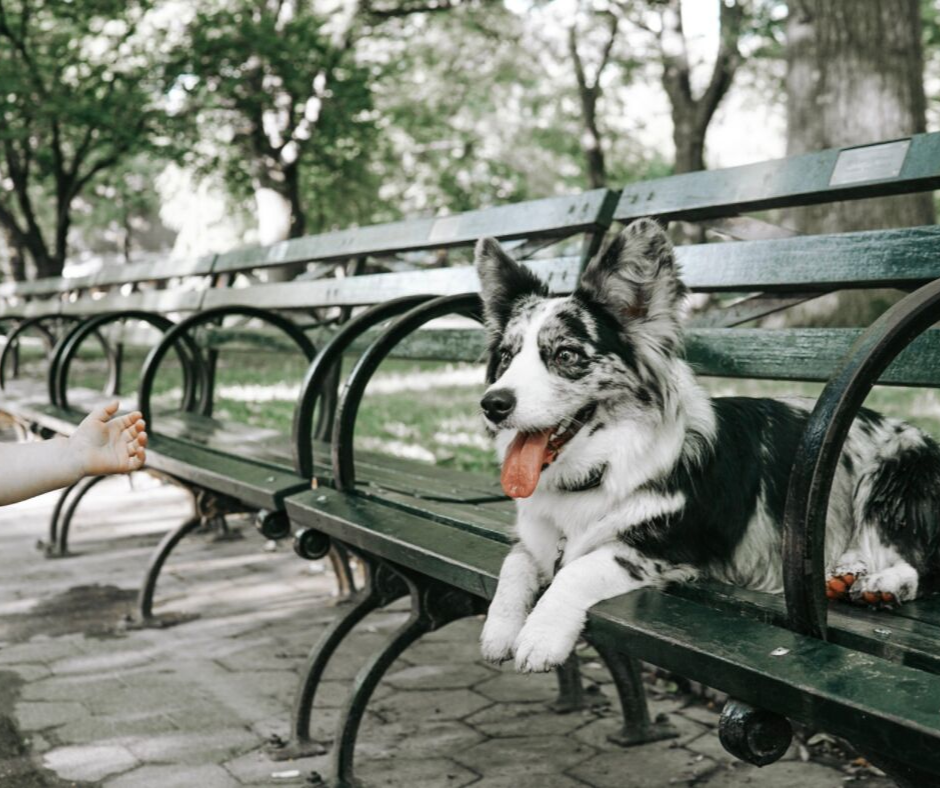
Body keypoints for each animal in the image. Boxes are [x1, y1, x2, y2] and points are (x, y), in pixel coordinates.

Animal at [474, 219, 940, 676]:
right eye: (507, 357)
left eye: (566, 355)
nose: (492, 404)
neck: (599, 470)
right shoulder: (534, 542)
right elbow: (513, 565)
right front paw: (499, 630)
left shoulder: (661, 549)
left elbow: (575, 571)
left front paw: (540, 637)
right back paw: (844, 573)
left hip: (892, 476)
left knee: (916, 564)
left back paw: (882, 585)